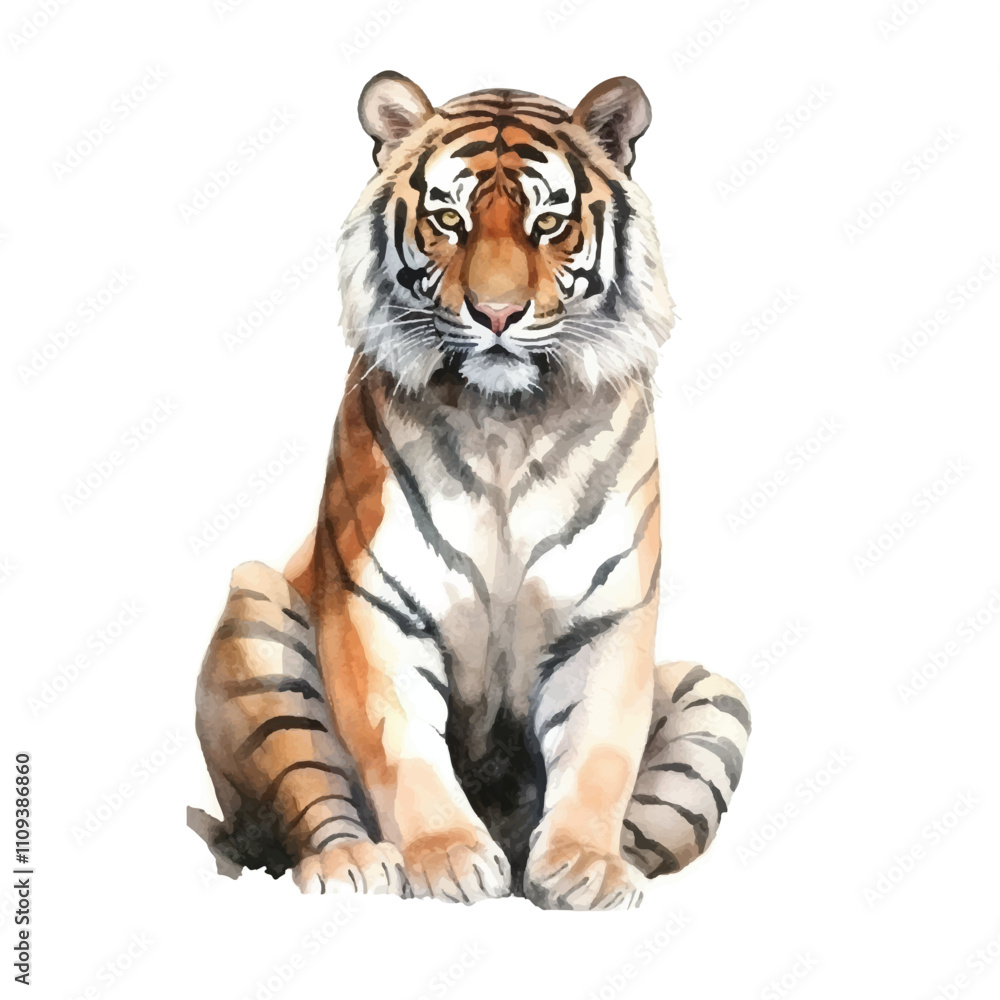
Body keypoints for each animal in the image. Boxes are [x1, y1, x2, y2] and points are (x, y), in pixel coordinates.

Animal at [191, 72, 751, 910]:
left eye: (549, 223)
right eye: (448, 219)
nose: (495, 313)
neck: (505, 422)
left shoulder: (606, 617)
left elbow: (601, 752)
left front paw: (585, 865)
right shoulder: (377, 607)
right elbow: (401, 747)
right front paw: (448, 857)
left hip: (714, 697)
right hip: (254, 609)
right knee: (308, 794)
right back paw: (354, 865)